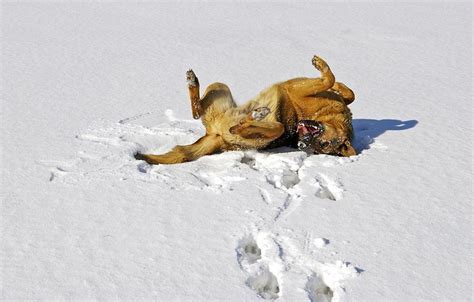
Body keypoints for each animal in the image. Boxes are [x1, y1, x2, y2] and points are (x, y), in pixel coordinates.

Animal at [135, 55, 354, 164]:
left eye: (322, 147)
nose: (301, 145)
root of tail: (216, 136)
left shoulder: (299, 89)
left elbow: (329, 79)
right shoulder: (300, 87)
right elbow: (346, 91)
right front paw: (337, 83)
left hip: (263, 132)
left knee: (254, 126)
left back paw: (255, 115)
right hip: (219, 86)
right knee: (197, 110)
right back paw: (192, 81)